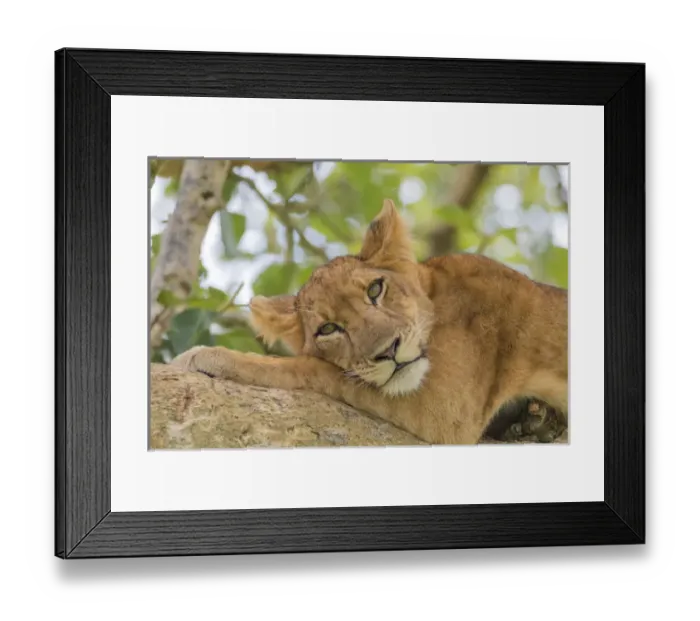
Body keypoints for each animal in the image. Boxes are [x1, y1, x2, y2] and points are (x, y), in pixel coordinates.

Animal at [171, 199, 568, 445]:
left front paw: (207, 355)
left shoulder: (447, 411)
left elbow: (310, 368)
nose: (388, 351)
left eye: (376, 289)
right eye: (328, 329)